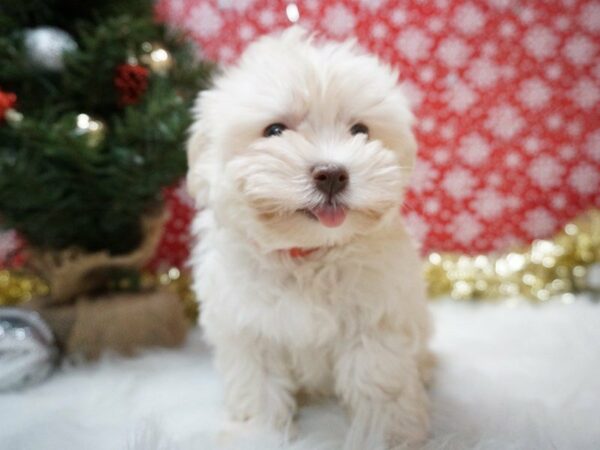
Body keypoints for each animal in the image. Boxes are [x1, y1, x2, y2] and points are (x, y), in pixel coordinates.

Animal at [188, 28, 432, 446]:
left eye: (360, 130)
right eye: (274, 130)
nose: (332, 173)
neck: (309, 254)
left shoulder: (375, 325)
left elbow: (379, 385)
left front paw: (386, 437)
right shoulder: (248, 329)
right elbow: (258, 388)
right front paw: (259, 435)